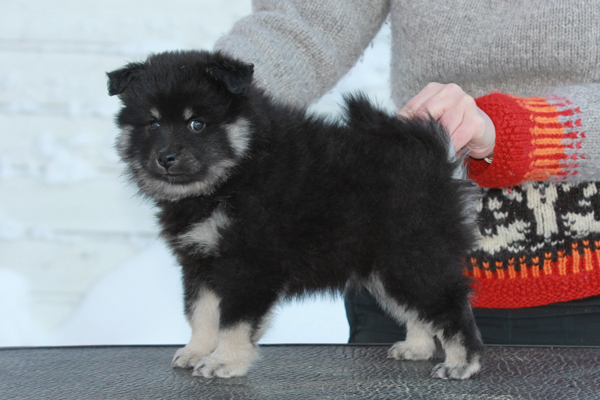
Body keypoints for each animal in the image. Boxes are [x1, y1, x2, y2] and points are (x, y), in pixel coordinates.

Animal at [107, 50, 484, 380]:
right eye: (152, 123)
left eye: (197, 124)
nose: (166, 157)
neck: (234, 173)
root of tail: (433, 156)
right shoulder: (199, 261)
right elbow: (201, 313)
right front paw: (197, 351)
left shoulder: (248, 264)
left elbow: (233, 320)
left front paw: (224, 361)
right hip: (387, 267)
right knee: (417, 310)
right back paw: (417, 346)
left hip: (412, 256)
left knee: (450, 308)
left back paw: (462, 362)